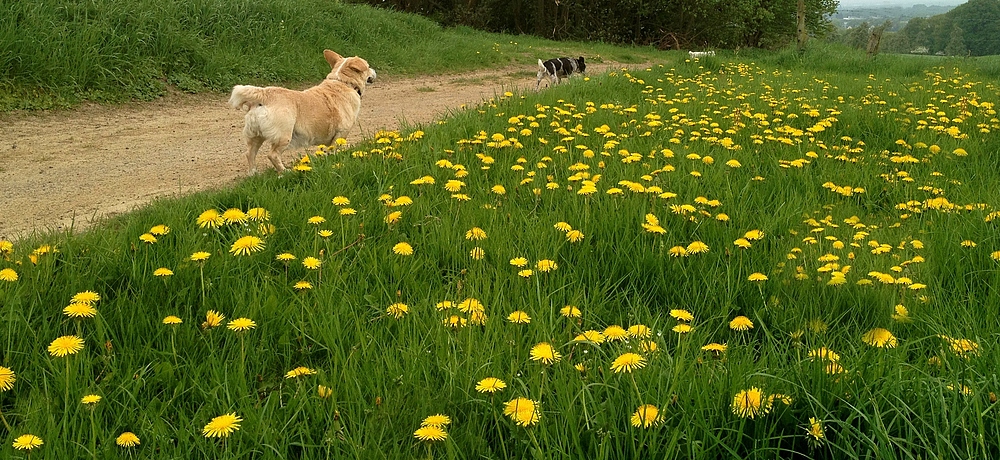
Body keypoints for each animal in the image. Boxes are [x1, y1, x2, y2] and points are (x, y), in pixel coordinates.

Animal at [229, 49, 376, 173]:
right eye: (368, 66)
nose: (374, 70)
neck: (343, 82)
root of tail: (265, 94)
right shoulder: (341, 134)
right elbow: (335, 150)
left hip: (255, 136)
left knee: (250, 153)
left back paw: (253, 174)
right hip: (283, 136)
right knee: (273, 155)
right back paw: (285, 172)